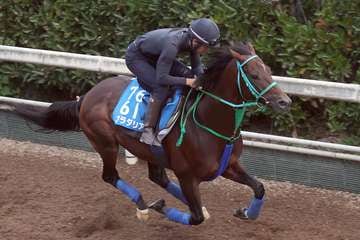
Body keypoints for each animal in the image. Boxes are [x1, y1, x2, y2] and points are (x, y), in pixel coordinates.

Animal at [0, 41, 292, 225]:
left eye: (268, 70)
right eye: (253, 74)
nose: (284, 101)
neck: (209, 123)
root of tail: (86, 97)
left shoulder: (227, 166)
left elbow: (259, 187)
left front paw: (246, 213)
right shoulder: (187, 175)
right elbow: (195, 217)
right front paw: (160, 207)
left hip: (148, 151)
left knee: (158, 178)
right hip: (105, 143)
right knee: (111, 176)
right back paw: (143, 206)